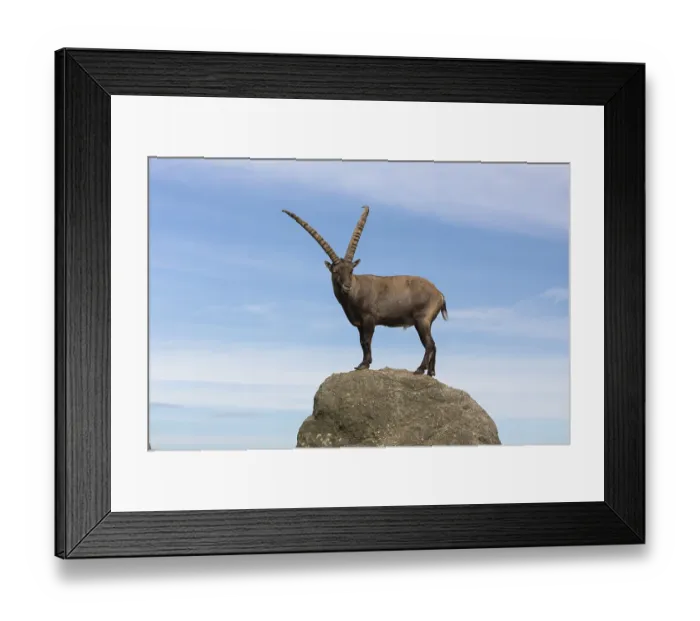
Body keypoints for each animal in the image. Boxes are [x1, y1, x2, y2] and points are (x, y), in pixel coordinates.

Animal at [282, 205, 448, 377]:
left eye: (351, 271)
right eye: (336, 271)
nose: (347, 286)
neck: (355, 291)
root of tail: (439, 294)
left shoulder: (369, 318)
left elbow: (366, 340)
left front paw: (364, 364)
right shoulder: (359, 323)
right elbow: (361, 342)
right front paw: (362, 363)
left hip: (422, 319)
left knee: (429, 344)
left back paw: (420, 369)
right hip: (426, 322)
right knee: (434, 345)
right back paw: (431, 372)